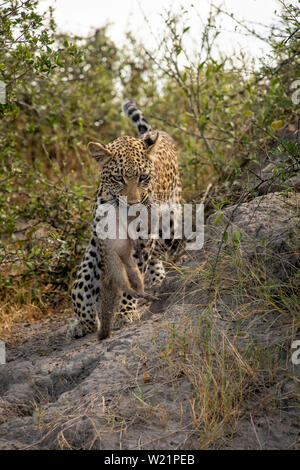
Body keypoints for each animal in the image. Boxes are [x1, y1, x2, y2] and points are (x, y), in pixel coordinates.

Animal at [67, 99, 180, 340]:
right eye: (119, 178)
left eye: (144, 177)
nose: (134, 204)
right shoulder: (100, 238)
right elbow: (82, 282)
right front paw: (85, 320)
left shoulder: (143, 235)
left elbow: (134, 270)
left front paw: (125, 312)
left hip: (170, 218)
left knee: (160, 247)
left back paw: (157, 277)